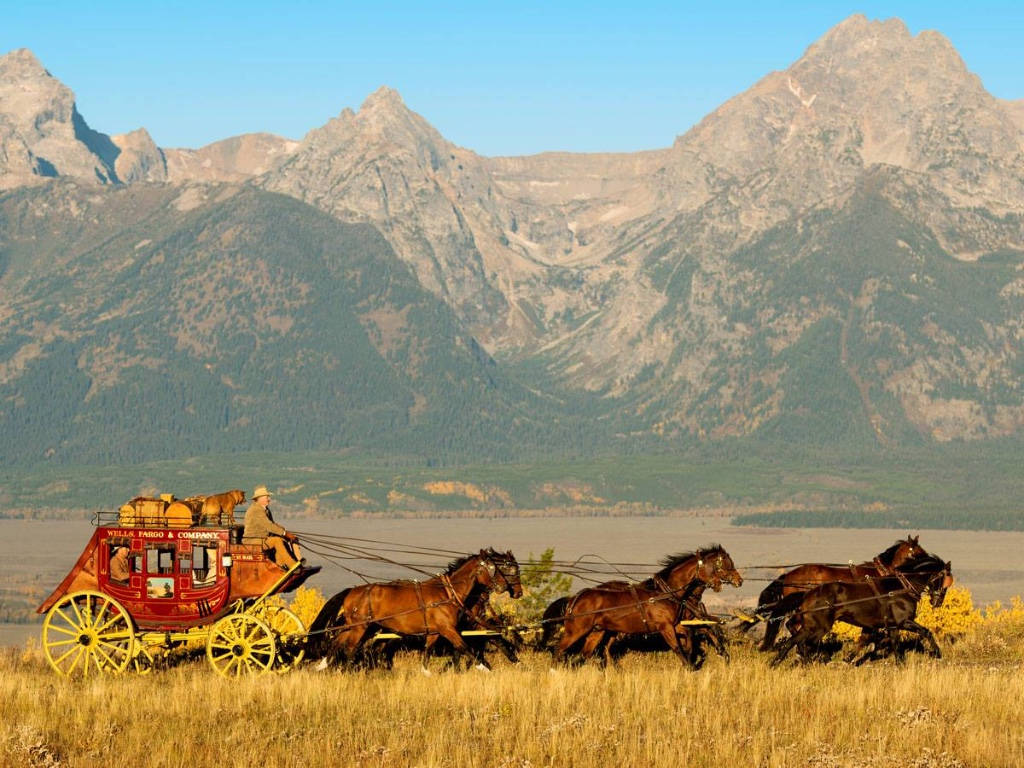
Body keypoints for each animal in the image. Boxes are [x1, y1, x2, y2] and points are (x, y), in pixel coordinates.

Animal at [307, 548, 524, 671]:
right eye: (493, 568)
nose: (508, 589)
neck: (448, 593)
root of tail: (353, 590)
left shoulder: (435, 631)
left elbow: (427, 652)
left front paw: (425, 672)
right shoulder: (448, 629)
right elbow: (464, 647)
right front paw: (484, 669)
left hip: (364, 627)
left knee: (337, 642)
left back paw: (323, 665)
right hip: (360, 627)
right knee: (350, 648)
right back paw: (348, 669)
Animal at [770, 552, 954, 667]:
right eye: (944, 580)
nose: (938, 601)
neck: (901, 587)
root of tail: (808, 593)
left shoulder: (889, 626)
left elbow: (885, 643)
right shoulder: (903, 622)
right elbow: (925, 632)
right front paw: (937, 653)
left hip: (811, 625)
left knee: (793, 641)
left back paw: (777, 663)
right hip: (819, 627)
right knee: (804, 643)